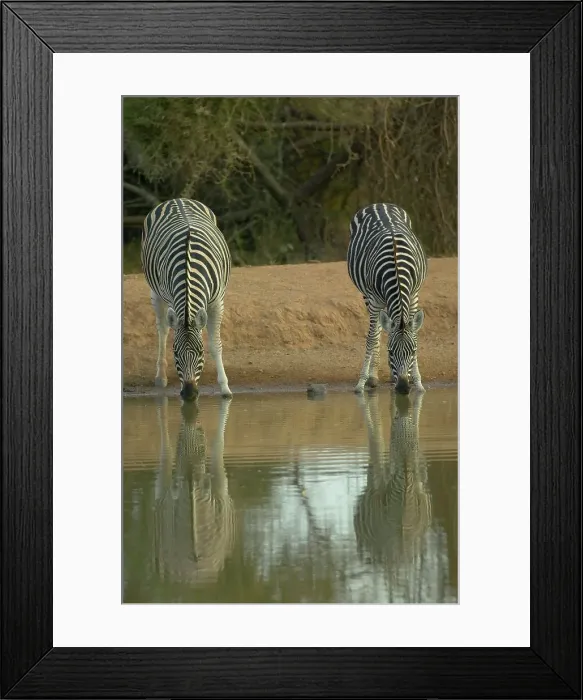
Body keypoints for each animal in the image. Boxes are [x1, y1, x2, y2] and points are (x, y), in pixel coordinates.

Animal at [141, 198, 232, 401]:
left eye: (200, 352)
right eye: (175, 353)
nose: (189, 394)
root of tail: (178, 199)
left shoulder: (217, 303)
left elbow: (216, 344)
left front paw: (224, 388)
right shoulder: (170, 299)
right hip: (155, 292)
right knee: (163, 330)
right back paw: (161, 376)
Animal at [347, 203, 428, 395]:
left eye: (413, 352)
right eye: (390, 352)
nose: (404, 388)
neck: (397, 268)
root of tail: (379, 204)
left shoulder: (414, 295)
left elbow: (414, 333)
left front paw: (418, 381)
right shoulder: (375, 300)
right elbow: (371, 339)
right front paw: (361, 382)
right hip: (367, 296)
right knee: (376, 330)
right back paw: (373, 376)